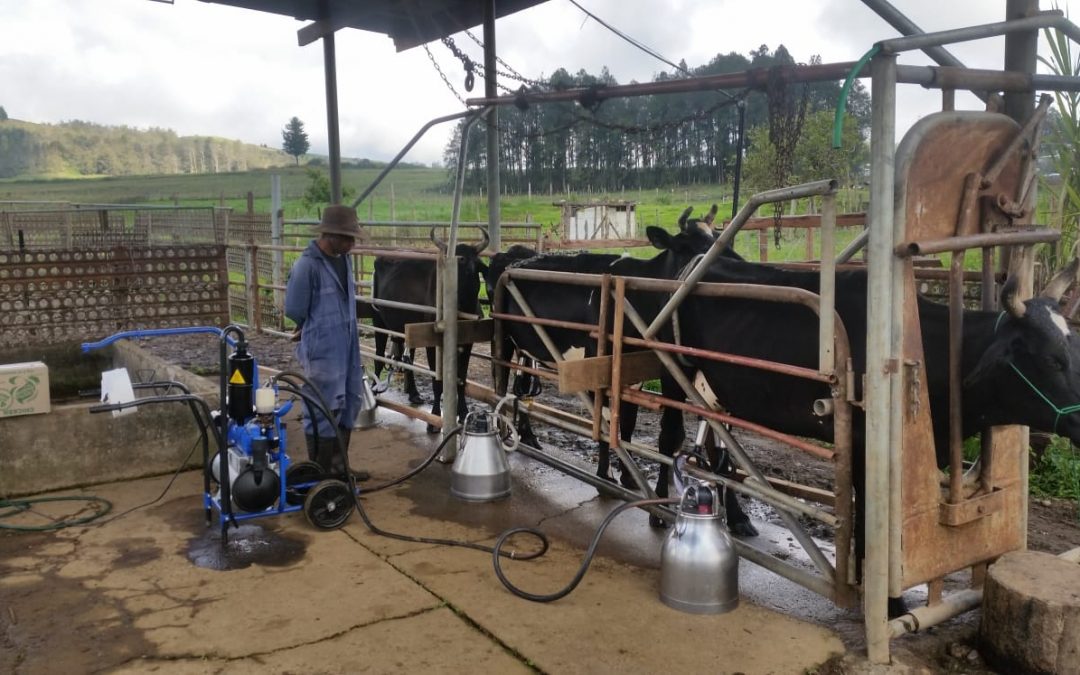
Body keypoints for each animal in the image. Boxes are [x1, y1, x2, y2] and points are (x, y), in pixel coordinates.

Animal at [371, 226, 490, 432]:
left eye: (472, 267)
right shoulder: (432, 345)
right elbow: (437, 382)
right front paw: (434, 418)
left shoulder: (468, 344)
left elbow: (461, 380)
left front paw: (463, 412)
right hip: (379, 321)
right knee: (378, 357)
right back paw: (374, 392)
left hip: (403, 328)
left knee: (407, 359)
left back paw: (414, 394)